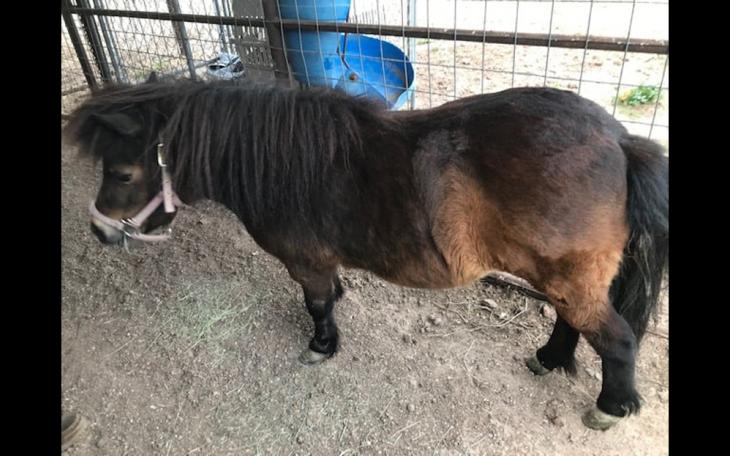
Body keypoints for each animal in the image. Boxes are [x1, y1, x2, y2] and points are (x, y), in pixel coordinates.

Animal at [63, 75, 668, 431]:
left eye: (122, 173)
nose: (99, 232)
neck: (283, 162)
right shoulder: (321, 261)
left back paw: (610, 406)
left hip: (568, 276)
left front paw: (321, 345)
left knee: (615, 338)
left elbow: (316, 305)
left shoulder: (304, 262)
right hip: (564, 277)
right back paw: (548, 358)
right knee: (571, 324)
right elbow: (331, 293)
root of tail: (620, 139)